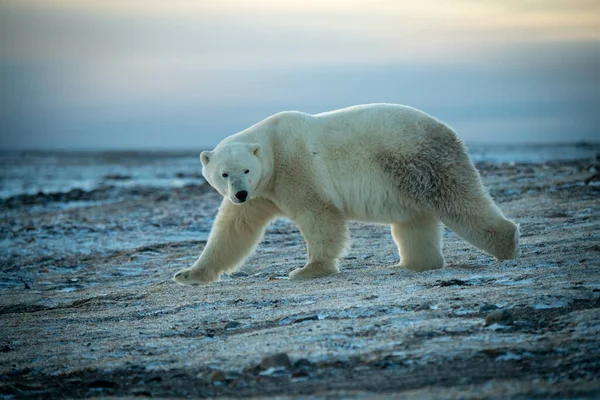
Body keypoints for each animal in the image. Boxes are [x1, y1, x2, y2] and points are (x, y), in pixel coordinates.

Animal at [172, 103, 516, 284]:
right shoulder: (262, 193)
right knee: (414, 223)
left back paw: (506, 244)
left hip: (423, 163)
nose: (240, 193)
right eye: (224, 174)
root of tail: (450, 131)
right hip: (408, 178)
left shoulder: (294, 167)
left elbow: (318, 214)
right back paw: (412, 263)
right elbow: (232, 230)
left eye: (245, 170)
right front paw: (189, 273)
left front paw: (308, 269)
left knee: (461, 203)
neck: (271, 147)